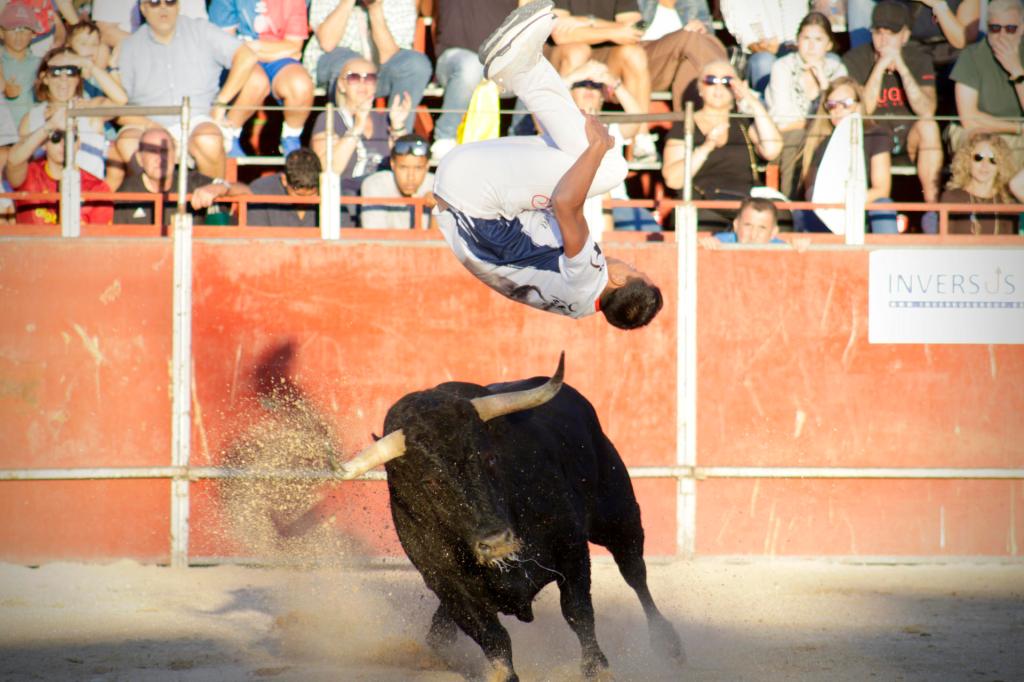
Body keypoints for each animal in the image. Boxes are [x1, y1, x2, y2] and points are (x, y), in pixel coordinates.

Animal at [336, 354, 685, 681]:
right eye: (431, 481)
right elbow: (493, 637)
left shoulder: (571, 548)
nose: (496, 542)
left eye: (490, 458)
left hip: (618, 516)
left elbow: (578, 612)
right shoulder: (447, 583)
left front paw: (598, 669)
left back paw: (668, 643)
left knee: (634, 572)